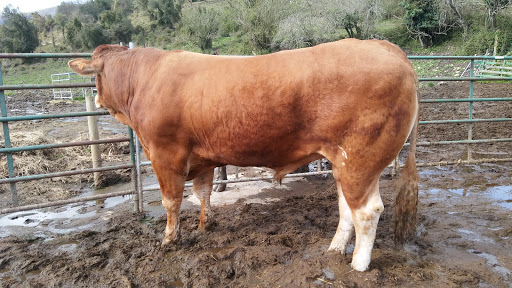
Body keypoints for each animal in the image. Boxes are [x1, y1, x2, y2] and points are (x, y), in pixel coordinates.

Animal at [69, 39, 420, 272]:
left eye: (95, 76)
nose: (96, 98)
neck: (144, 79)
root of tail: (384, 46)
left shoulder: (163, 153)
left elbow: (171, 201)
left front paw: (169, 239)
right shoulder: (202, 158)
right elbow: (203, 193)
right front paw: (206, 225)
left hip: (360, 160)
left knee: (367, 211)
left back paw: (359, 265)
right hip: (341, 163)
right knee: (347, 208)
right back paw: (335, 249)